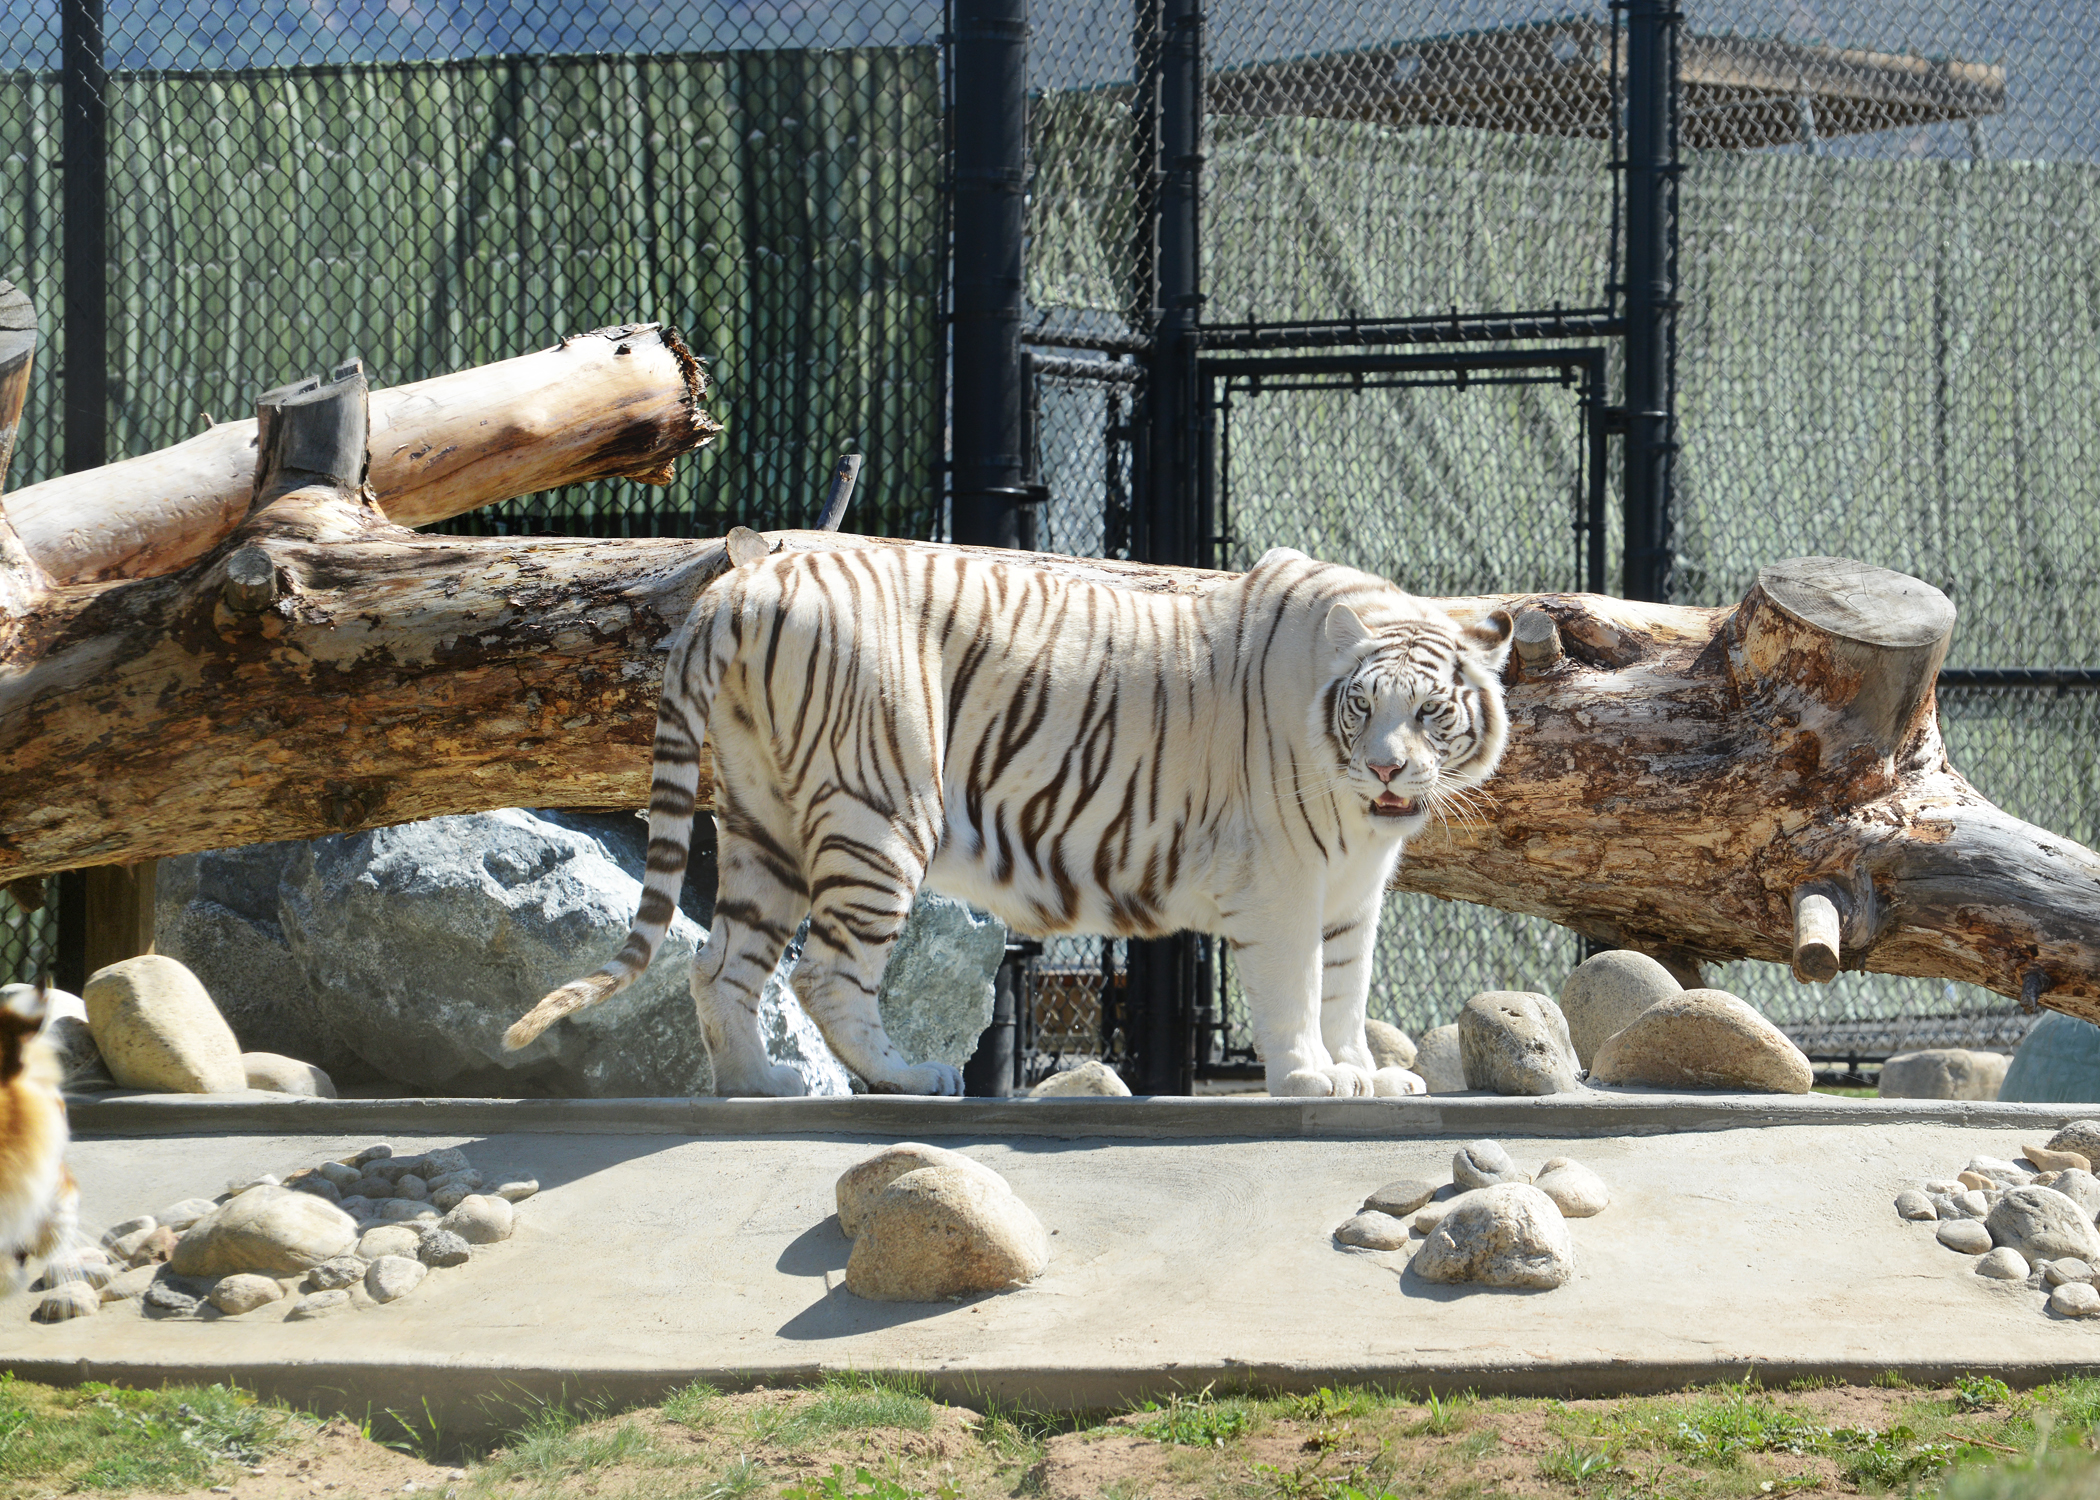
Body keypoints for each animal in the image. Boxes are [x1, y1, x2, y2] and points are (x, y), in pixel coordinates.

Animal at [516, 542, 1520, 1092]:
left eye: (1432, 713)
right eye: (1364, 707)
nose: (1386, 766)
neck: (1357, 816)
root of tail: (741, 584)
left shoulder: (1352, 886)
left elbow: (1347, 983)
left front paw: (1366, 1074)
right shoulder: (1280, 877)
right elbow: (1296, 989)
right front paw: (1311, 1073)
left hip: (764, 816)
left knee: (721, 961)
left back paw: (757, 1087)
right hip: (881, 809)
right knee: (825, 974)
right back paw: (909, 1077)